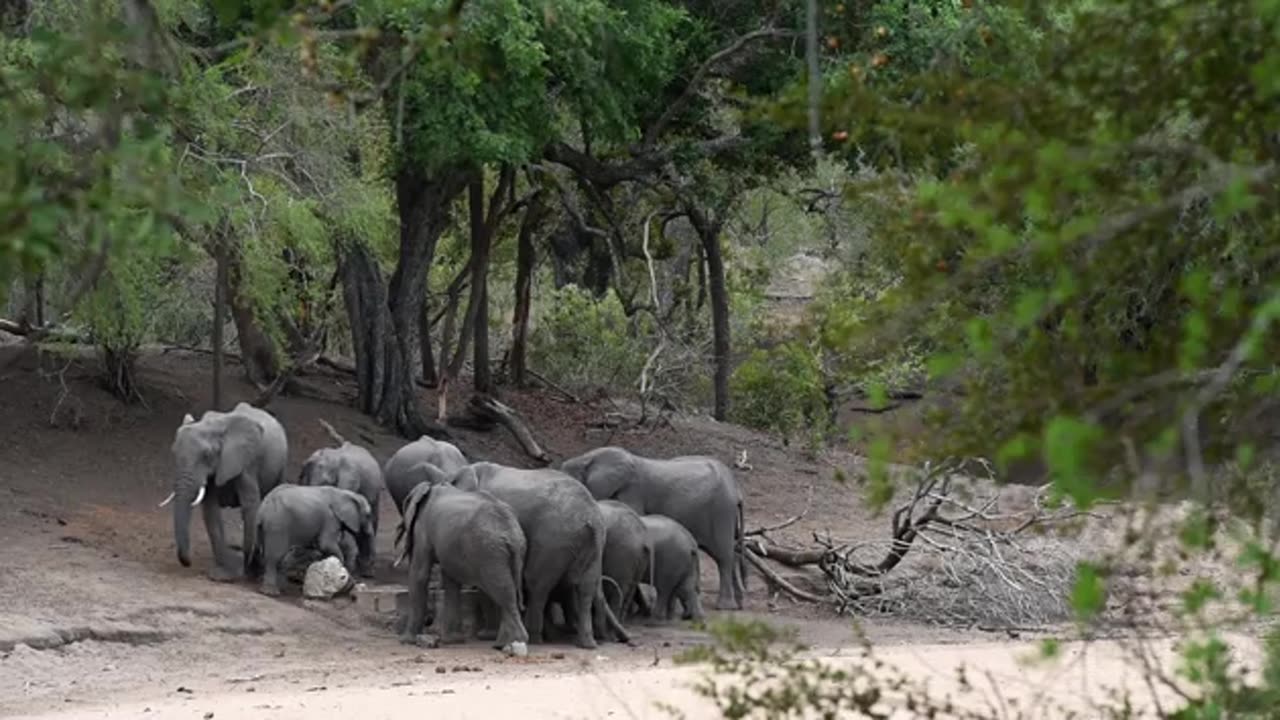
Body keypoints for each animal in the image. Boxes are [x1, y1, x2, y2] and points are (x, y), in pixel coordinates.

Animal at [163, 399, 289, 579]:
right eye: (174, 452)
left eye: (207, 455)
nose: (188, 563)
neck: (213, 426)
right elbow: (210, 511)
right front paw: (224, 574)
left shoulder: (246, 462)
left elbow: (251, 507)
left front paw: (248, 569)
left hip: (281, 464)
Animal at [391, 466, 527, 650]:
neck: (431, 487)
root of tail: (510, 529)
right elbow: (451, 580)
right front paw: (452, 640)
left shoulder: (422, 527)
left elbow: (419, 575)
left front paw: (406, 641)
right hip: (508, 550)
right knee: (506, 587)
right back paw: (502, 644)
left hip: (489, 549)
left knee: (500, 589)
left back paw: (516, 642)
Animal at [450, 461, 629, 648]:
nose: (626, 640)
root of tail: (591, 516)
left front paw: (489, 636)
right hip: (592, 543)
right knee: (585, 589)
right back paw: (587, 643)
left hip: (553, 538)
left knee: (537, 585)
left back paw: (536, 638)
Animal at [563, 445, 747, 607]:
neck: (586, 457)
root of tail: (737, 490)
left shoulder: (632, 493)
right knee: (732, 552)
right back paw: (738, 603)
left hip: (721, 511)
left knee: (724, 557)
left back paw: (725, 606)